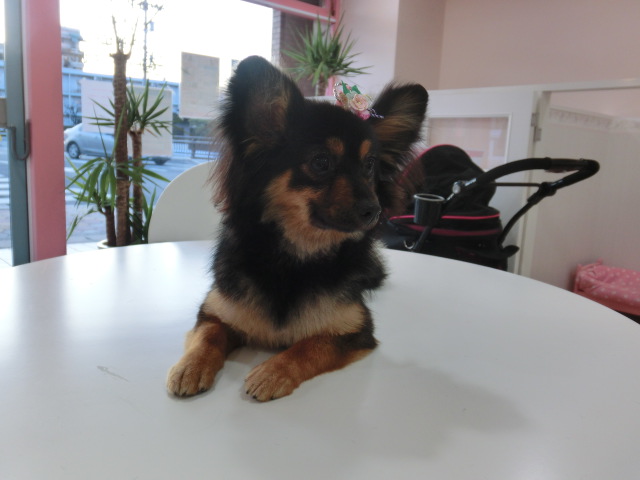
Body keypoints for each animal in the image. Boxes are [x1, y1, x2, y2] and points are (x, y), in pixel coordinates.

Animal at [167, 56, 428, 401]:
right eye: (321, 162)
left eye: (370, 165)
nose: (374, 210)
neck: (297, 257)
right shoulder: (216, 310)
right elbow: (208, 335)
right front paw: (191, 366)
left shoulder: (355, 329)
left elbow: (310, 346)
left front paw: (272, 372)